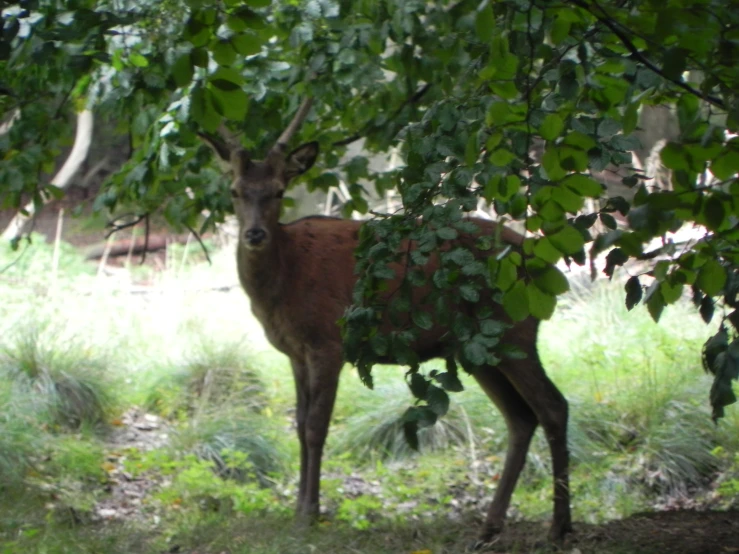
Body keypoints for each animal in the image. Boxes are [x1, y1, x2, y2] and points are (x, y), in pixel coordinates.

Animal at [198, 98, 572, 544]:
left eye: (278, 191)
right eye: (235, 191)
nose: (254, 234)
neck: (280, 289)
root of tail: (545, 262)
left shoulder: (329, 341)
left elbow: (316, 427)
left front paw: (310, 514)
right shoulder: (294, 352)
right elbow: (299, 426)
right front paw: (297, 509)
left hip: (516, 330)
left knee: (553, 406)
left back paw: (559, 526)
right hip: (479, 348)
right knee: (520, 417)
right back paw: (490, 525)